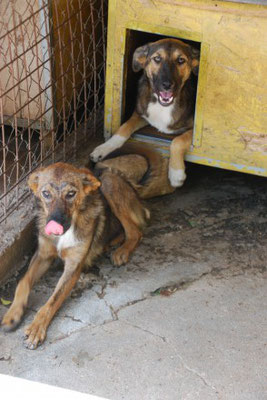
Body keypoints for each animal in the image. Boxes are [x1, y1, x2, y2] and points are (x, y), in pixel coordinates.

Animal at [1, 143, 176, 346]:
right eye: (46, 194)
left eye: (71, 194)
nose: (55, 224)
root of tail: (135, 189)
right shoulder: (43, 255)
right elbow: (23, 281)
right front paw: (13, 314)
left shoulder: (73, 266)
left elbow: (52, 300)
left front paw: (37, 327)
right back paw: (109, 243)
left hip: (108, 181)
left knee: (136, 231)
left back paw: (121, 251)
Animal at [91, 37, 200, 188]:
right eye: (157, 58)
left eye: (181, 60)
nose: (167, 85)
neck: (164, 106)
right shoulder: (140, 114)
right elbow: (124, 128)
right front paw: (104, 148)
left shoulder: (194, 129)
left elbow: (178, 140)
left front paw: (176, 173)